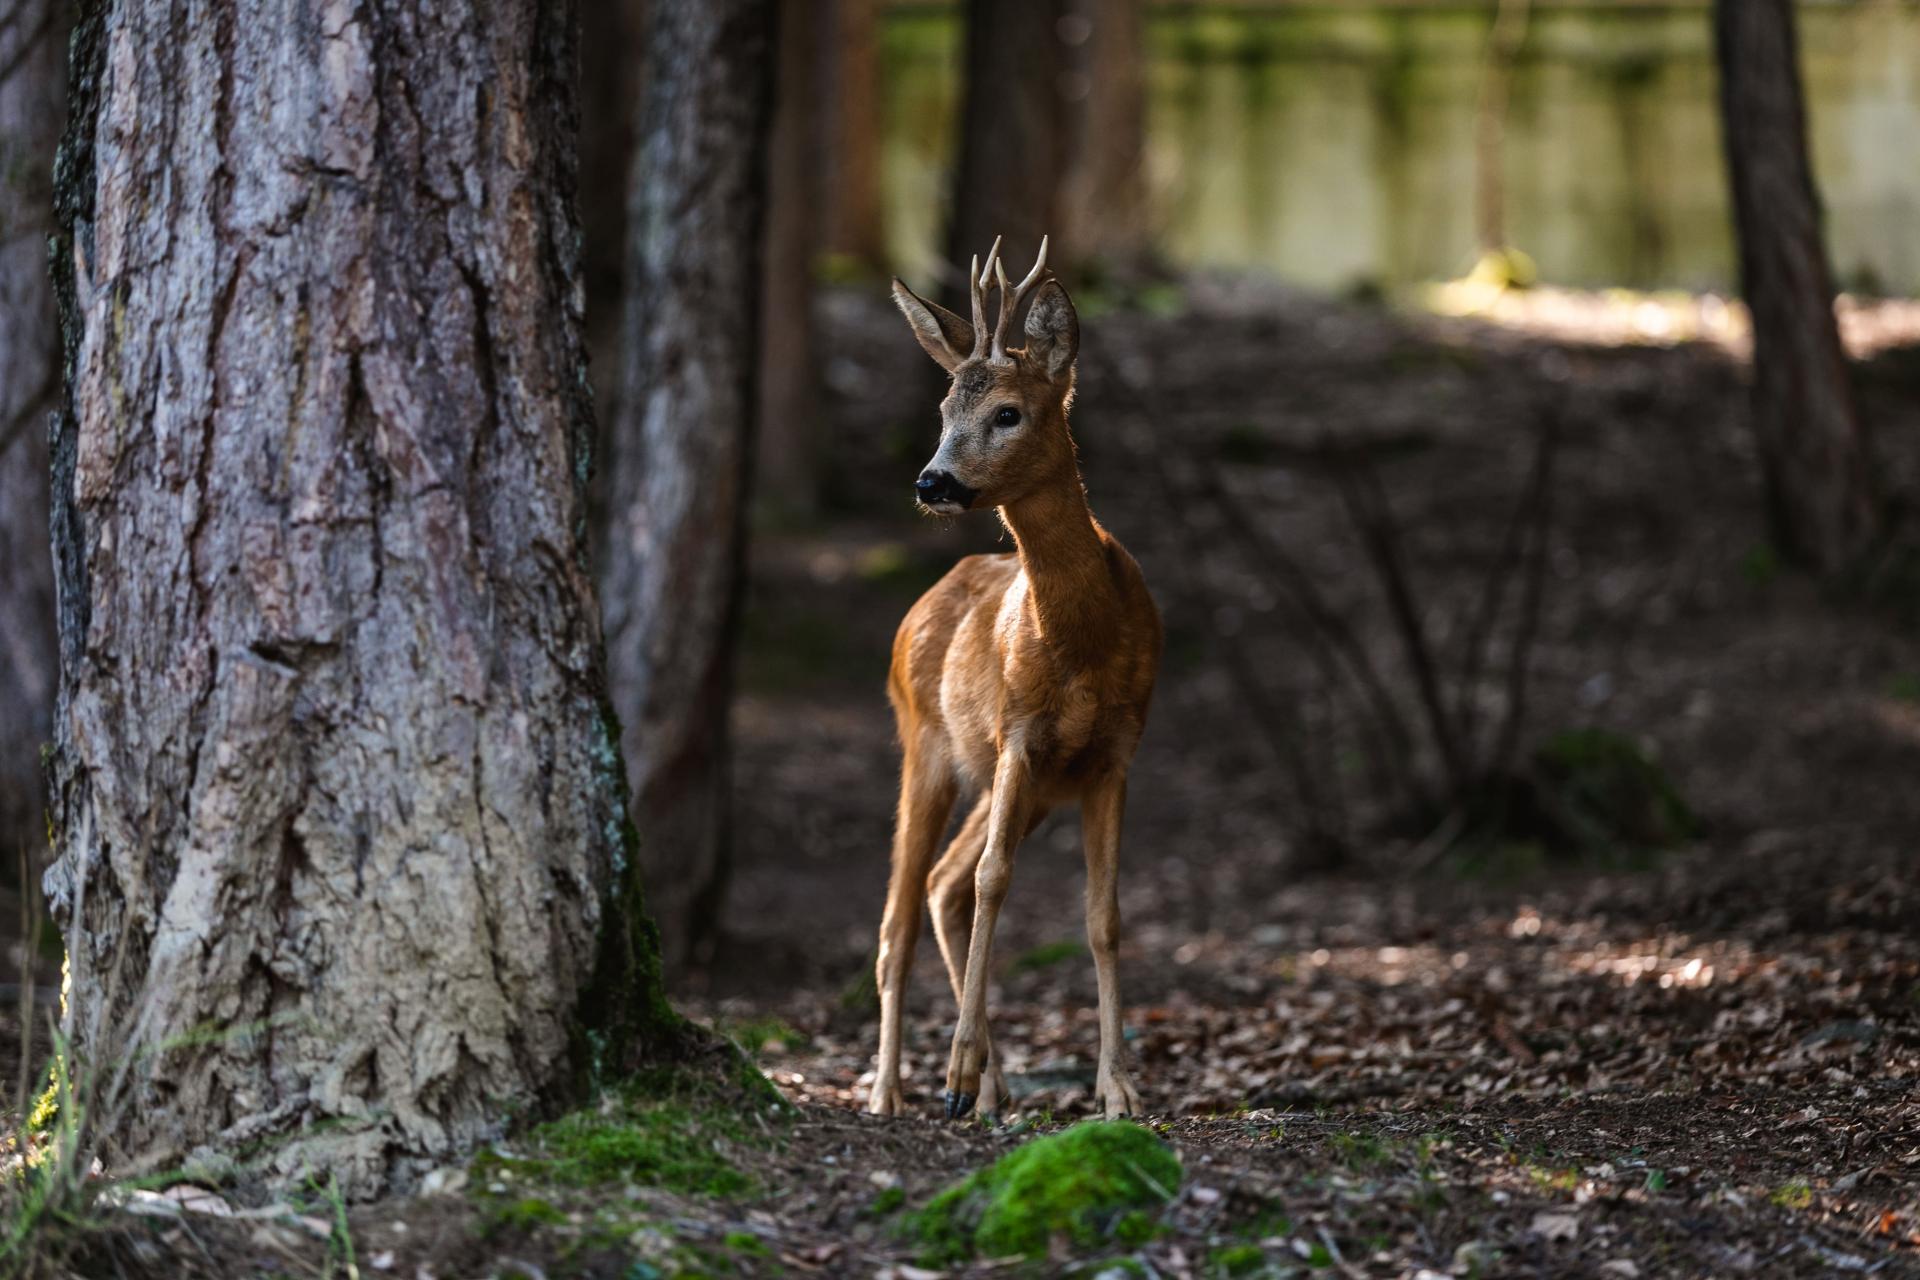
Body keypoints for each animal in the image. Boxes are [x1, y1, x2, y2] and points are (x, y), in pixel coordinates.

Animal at [879, 239, 1159, 1120]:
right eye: (942, 412)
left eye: (1008, 412)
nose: (931, 481)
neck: (1083, 644)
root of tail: (919, 606)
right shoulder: (1017, 734)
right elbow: (998, 880)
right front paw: (955, 1071)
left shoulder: (1112, 752)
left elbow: (1103, 914)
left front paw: (1118, 1088)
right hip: (928, 747)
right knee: (900, 917)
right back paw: (895, 1091)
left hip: (1026, 783)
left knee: (942, 884)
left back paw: (992, 1087)